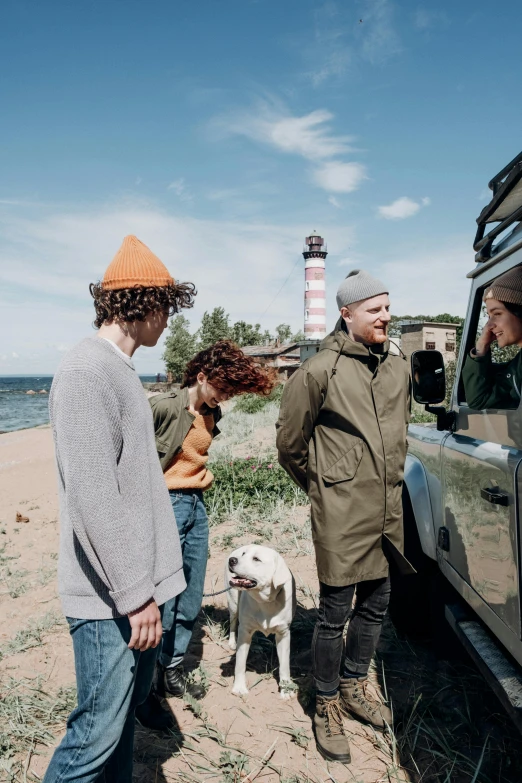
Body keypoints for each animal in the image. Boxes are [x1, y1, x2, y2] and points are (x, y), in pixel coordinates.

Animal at [225, 544, 294, 700]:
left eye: (256, 559)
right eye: (244, 554)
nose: (232, 560)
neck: (265, 601)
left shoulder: (283, 634)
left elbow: (285, 665)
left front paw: (286, 690)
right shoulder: (244, 631)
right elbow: (240, 663)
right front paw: (239, 687)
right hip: (233, 603)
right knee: (233, 623)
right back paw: (232, 642)